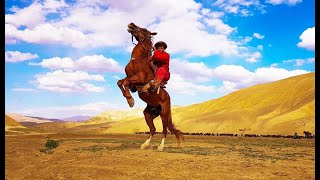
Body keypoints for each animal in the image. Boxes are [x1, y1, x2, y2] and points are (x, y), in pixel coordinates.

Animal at [117, 22, 184, 152]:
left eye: (144, 29)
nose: (131, 24)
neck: (138, 60)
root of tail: (168, 99)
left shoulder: (139, 79)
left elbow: (125, 82)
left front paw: (130, 100)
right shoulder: (132, 81)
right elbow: (120, 82)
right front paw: (128, 99)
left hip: (164, 114)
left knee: (164, 130)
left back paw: (160, 147)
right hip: (148, 114)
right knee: (153, 129)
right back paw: (144, 145)